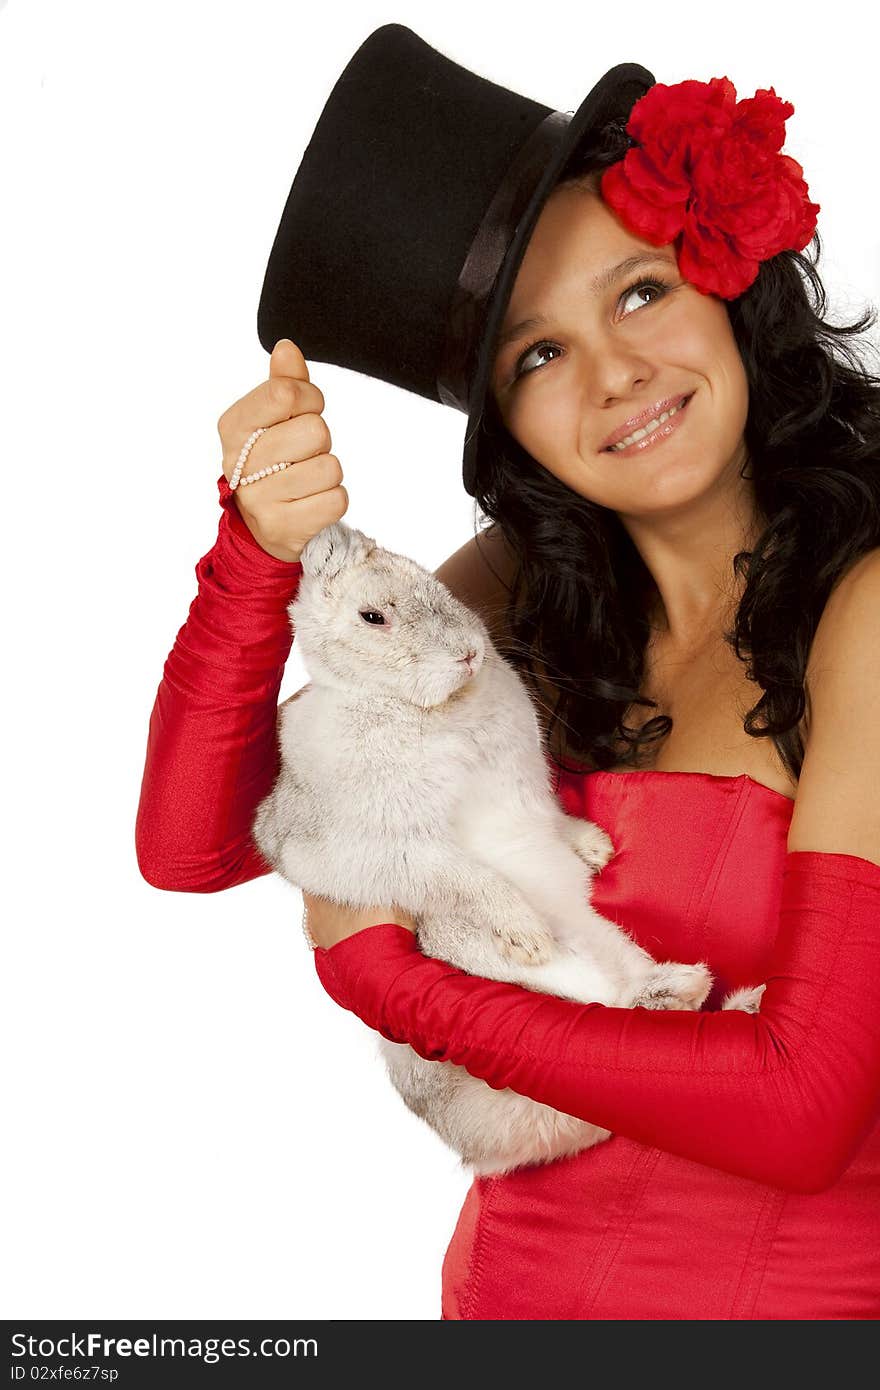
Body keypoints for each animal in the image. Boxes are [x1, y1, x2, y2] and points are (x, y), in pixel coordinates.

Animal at [251, 522, 722, 1173]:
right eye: (373, 617)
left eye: (431, 580)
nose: (470, 653)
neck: (422, 709)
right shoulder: (382, 845)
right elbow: (461, 874)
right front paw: (526, 931)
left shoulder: (528, 794)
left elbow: (550, 817)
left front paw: (592, 847)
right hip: (459, 942)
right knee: (602, 1001)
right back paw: (673, 988)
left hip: (605, 937)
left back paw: (693, 987)